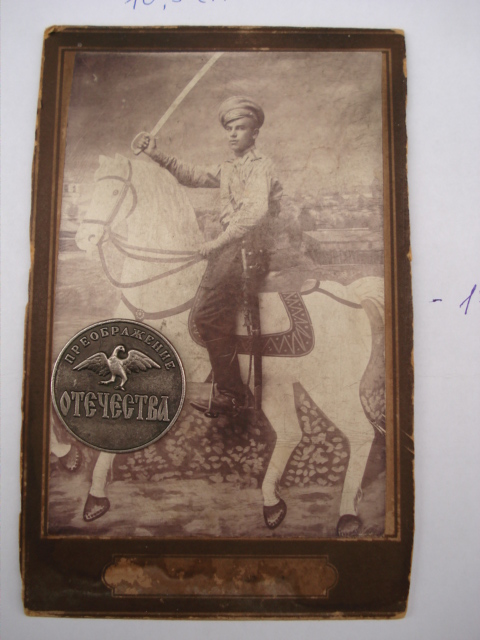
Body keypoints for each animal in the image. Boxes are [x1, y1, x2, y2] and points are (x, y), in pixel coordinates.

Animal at [72, 153, 385, 536]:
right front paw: (95, 497)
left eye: (115, 190)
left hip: (333, 388)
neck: (165, 284)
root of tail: (353, 297)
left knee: (362, 434)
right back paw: (272, 504)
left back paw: (348, 516)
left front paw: (96, 495)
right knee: (291, 433)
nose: (84, 237)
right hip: (277, 386)